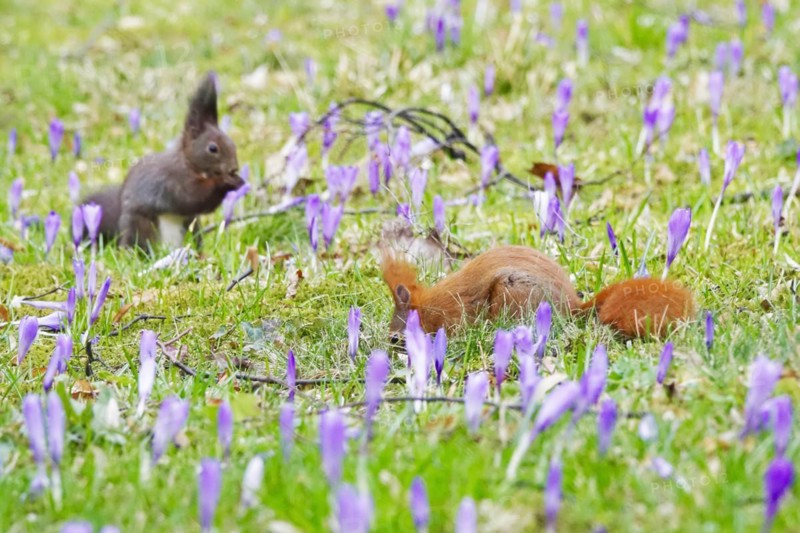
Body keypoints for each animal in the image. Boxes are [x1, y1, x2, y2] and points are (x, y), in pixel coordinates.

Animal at [82, 72, 244, 249]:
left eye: (232, 143)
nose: (233, 168)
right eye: (213, 148)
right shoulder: (172, 182)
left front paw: (238, 180)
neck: (190, 164)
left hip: (192, 224)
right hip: (142, 226)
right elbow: (192, 198)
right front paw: (225, 182)